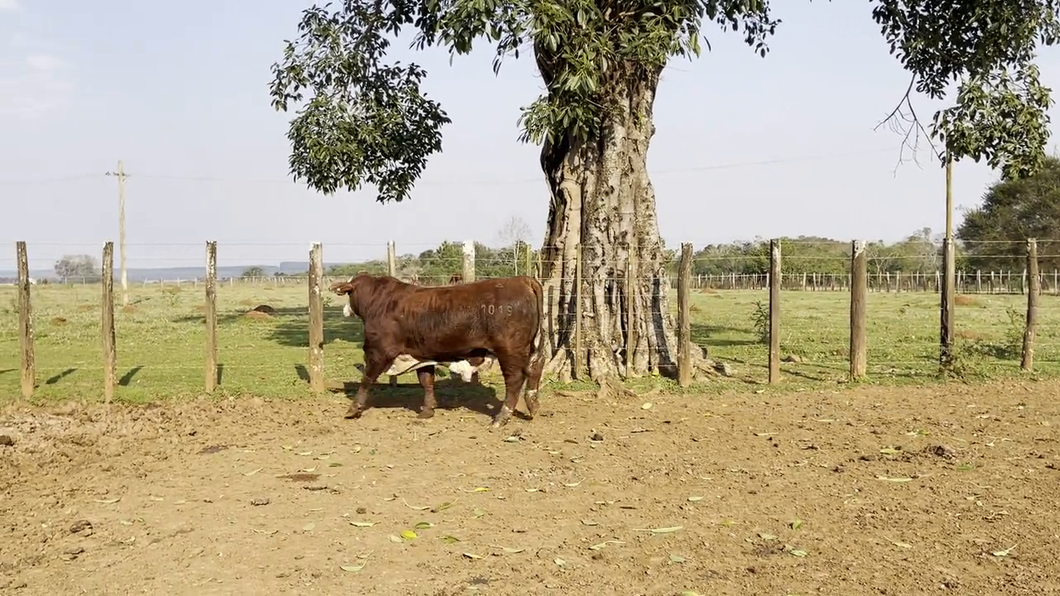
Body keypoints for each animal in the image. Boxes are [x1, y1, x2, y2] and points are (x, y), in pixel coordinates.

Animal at [328, 271, 546, 424]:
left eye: (348, 293)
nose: (345, 310)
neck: (379, 302)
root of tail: (521, 280)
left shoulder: (378, 352)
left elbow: (366, 380)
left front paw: (353, 409)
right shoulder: (421, 354)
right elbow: (426, 381)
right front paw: (427, 410)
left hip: (509, 350)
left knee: (514, 379)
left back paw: (502, 417)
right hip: (529, 347)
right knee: (535, 368)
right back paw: (533, 406)